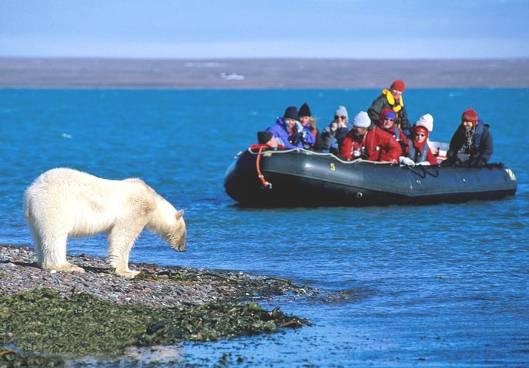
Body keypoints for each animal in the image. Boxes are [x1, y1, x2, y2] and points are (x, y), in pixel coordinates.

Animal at [23, 168, 187, 278]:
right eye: (184, 233)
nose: (183, 249)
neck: (153, 200)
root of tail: (31, 192)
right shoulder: (136, 210)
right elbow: (122, 237)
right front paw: (128, 271)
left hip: (35, 216)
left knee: (39, 236)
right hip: (55, 205)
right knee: (55, 236)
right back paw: (68, 266)